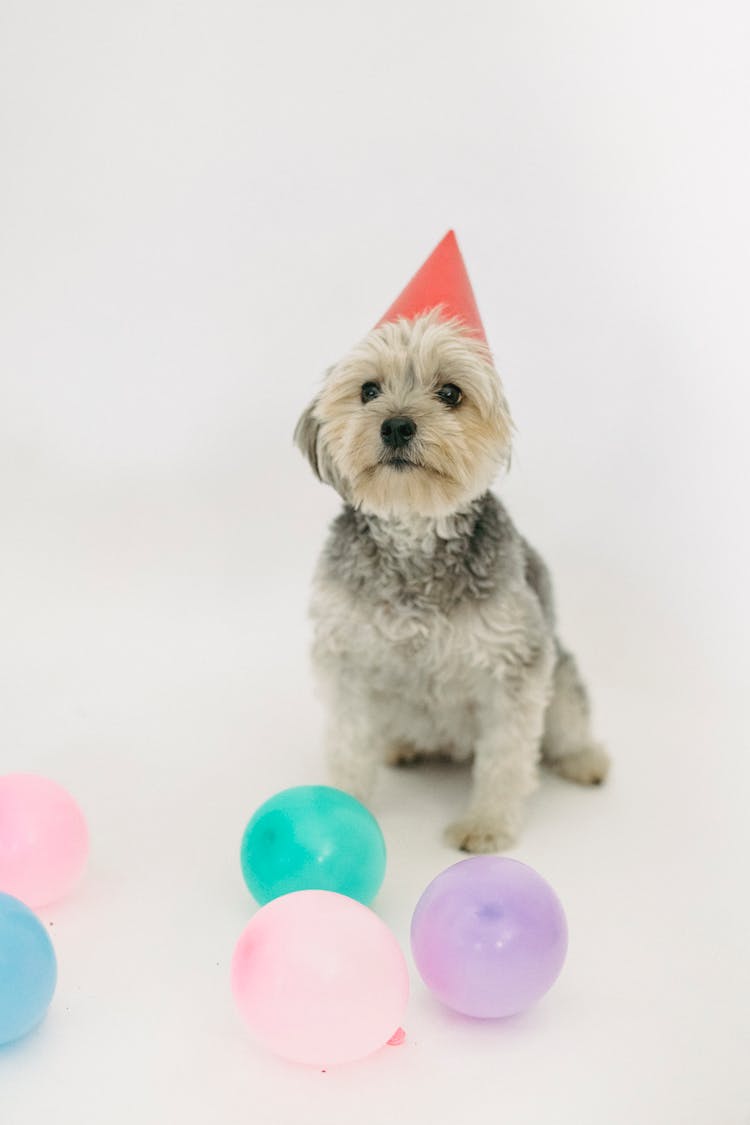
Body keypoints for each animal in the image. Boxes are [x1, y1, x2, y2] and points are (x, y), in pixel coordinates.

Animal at [292, 239, 611, 850]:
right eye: (368, 390)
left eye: (450, 393)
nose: (395, 425)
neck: (414, 536)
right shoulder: (346, 662)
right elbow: (348, 743)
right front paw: (342, 807)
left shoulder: (515, 666)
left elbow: (506, 758)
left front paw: (486, 825)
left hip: (559, 676)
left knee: (567, 724)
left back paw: (585, 760)